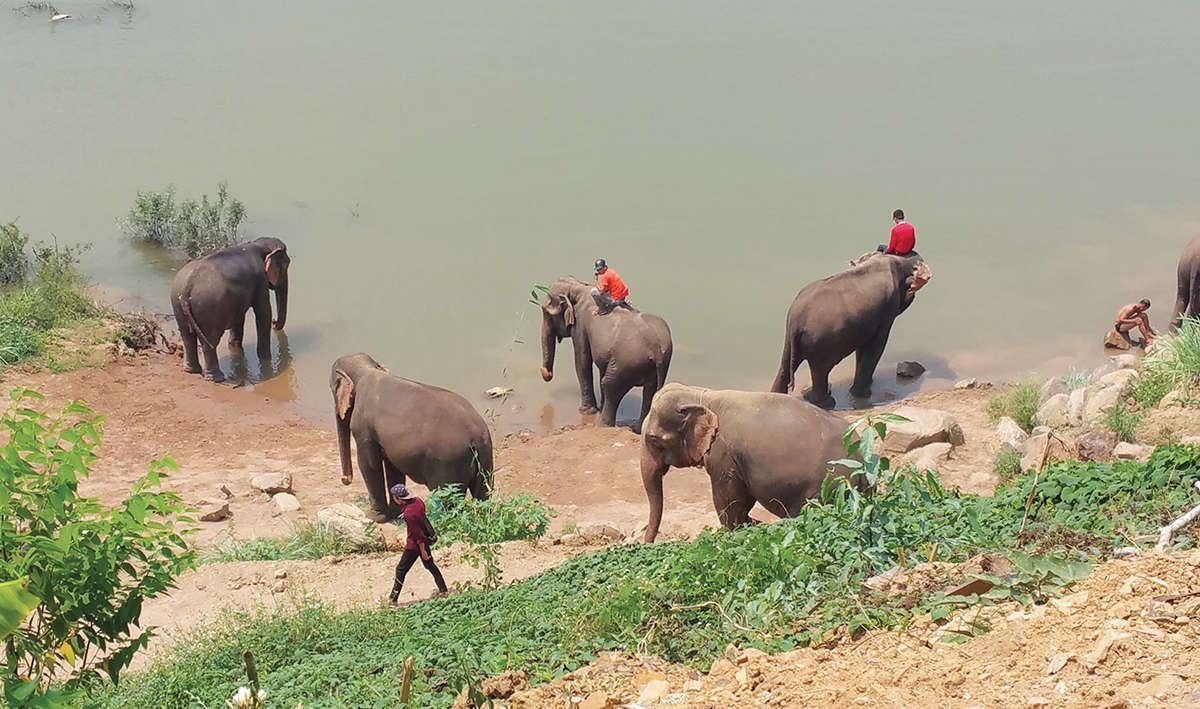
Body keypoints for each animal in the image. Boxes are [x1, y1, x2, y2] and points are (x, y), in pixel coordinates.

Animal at [170, 237, 291, 383]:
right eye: (286, 266)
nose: (274, 323)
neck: (257, 244)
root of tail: (188, 286)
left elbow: (240, 317)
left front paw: (234, 346)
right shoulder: (260, 280)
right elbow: (263, 313)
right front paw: (266, 358)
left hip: (177, 302)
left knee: (187, 337)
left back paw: (192, 370)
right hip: (208, 308)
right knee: (210, 342)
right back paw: (217, 378)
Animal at [328, 352, 492, 520]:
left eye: (333, 389)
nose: (345, 479)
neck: (368, 370)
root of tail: (475, 436)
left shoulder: (362, 427)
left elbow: (368, 464)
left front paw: (374, 517)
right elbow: (392, 466)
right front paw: (397, 514)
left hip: (448, 466)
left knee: (449, 503)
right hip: (484, 457)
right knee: (483, 494)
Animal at [537, 277, 672, 429]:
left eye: (546, 313)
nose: (546, 372)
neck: (577, 286)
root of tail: (657, 350)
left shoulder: (580, 325)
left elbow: (582, 361)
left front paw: (586, 411)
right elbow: (600, 364)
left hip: (626, 363)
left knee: (610, 385)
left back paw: (602, 425)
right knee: (649, 390)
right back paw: (637, 426)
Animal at [638, 383, 864, 544]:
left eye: (654, 440)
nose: (647, 542)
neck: (701, 396)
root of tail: (862, 464)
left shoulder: (724, 454)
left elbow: (728, 501)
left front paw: (732, 532)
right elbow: (743, 498)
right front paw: (750, 524)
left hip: (828, 488)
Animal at [768, 251, 926, 407]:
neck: (892, 260)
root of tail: (797, 321)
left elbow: (863, 347)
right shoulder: (887, 312)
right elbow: (876, 346)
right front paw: (862, 394)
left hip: (791, 338)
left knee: (785, 365)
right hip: (822, 342)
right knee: (821, 370)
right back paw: (826, 403)